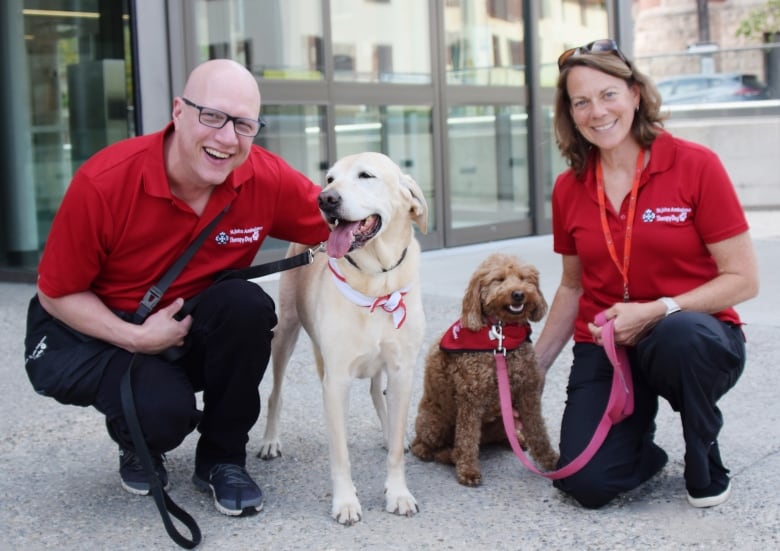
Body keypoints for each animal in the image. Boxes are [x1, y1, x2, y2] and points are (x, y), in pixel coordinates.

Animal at [258, 152, 426, 528]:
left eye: (366, 175)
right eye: (330, 178)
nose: (325, 200)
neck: (377, 282)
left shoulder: (402, 371)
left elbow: (396, 447)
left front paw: (398, 493)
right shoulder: (336, 381)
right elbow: (340, 454)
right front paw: (346, 502)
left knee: (378, 394)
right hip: (285, 332)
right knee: (275, 393)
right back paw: (271, 441)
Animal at [412, 252, 556, 486]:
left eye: (524, 278)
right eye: (498, 279)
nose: (518, 294)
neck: (501, 338)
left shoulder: (528, 394)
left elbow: (538, 430)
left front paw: (551, 459)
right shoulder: (471, 400)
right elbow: (467, 439)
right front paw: (468, 471)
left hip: (499, 420)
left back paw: (514, 440)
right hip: (435, 422)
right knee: (425, 444)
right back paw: (442, 454)